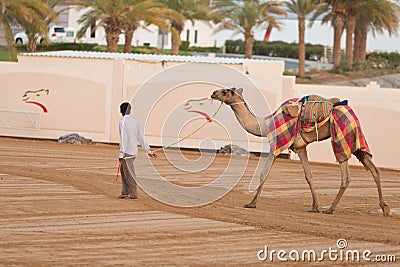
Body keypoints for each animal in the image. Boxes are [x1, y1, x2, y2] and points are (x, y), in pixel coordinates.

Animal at [211, 87, 390, 217]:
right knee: (374, 169)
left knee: (346, 176)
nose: (213, 93)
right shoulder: (300, 147)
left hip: (340, 138)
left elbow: (264, 173)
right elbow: (308, 176)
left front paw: (251, 203)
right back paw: (385, 208)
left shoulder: (276, 144)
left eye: (226, 91)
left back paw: (330, 209)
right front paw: (314, 206)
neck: (264, 124)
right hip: (356, 141)